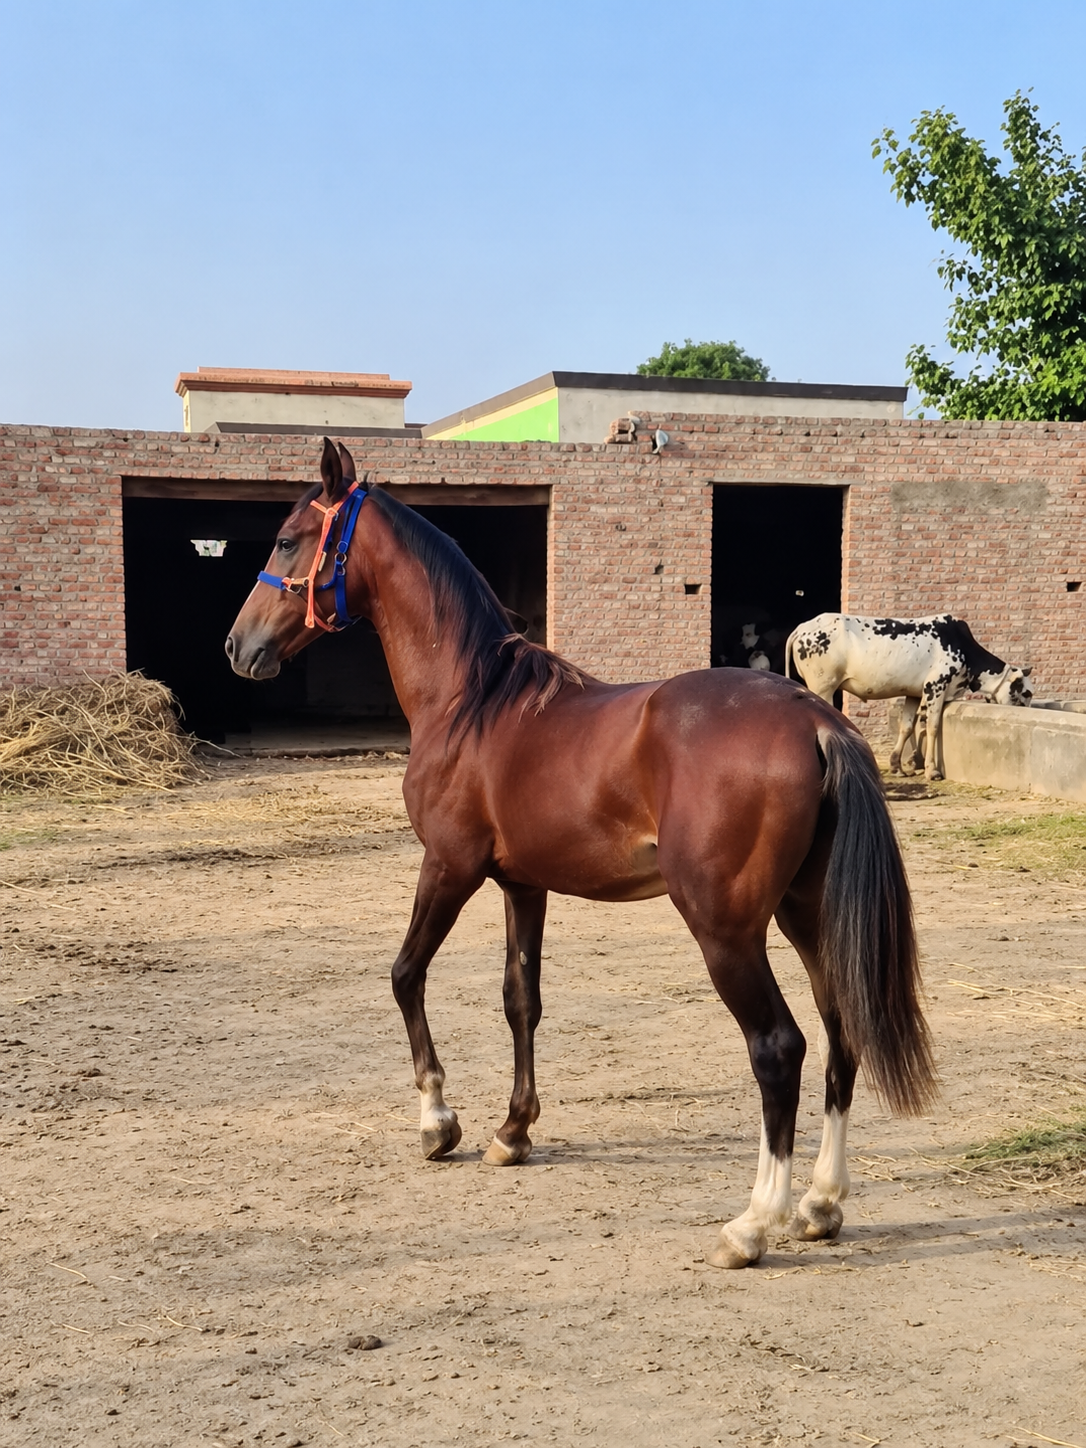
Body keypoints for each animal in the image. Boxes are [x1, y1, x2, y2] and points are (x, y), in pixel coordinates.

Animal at [225, 440, 936, 1270]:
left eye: (286, 540)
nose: (238, 646)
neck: (473, 703)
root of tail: (814, 720)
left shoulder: (450, 867)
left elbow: (405, 975)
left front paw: (439, 1120)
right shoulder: (521, 886)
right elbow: (520, 1000)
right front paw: (512, 1132)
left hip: (727, 931)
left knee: (778, 1048)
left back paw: (754, 1223)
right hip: (806, 915)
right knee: (839, 1032)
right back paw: (821, 1204)